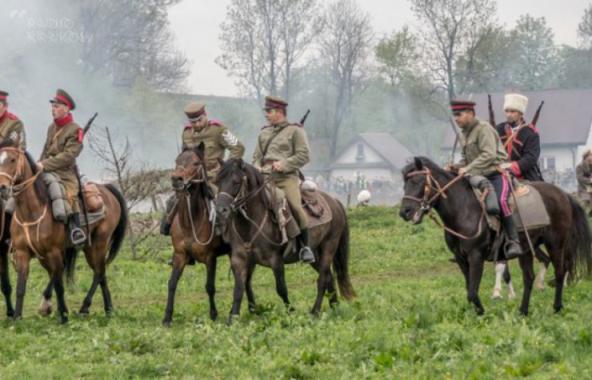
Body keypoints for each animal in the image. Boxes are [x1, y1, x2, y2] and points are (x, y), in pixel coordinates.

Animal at [0, 140, 127, 324]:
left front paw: (64, 317)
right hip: (86, 247)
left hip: (100, 242)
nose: (2, 187)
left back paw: (84, 307)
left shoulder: (53, 251)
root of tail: (107, 189)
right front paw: (17, 317)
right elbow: (21, 287)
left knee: (98, 271)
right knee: (99, 272)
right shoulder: (23, 253)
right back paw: (108, 308)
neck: (32, 212)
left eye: (12, 159)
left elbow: (59, 285)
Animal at [163, 144, 230, 326]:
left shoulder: (210, 258)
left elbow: (210, 287)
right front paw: (167, 317)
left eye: (195, 163)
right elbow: (172, 283)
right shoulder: (180, 256)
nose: (176, 179)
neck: (190, 222)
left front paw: (213, 315)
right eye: (177, 160)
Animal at [217, 158, 356, 324]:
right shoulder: (239, 260)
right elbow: (238, 289)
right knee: (329, 277)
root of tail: (335, 201)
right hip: (316, 254)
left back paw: (315, 311)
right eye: (217, 182)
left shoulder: (276, 260)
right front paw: (232, 319)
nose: (220, 210)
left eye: (236, 182)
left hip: (329, 246)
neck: (252, 223)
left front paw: (291, 312)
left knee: (323, 278)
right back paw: (334, 306)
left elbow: (281, 288)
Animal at [398, 157, 592, 314]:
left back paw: (557, 307)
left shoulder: (476, 256)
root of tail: (563, 194)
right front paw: (478, 310)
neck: (464, 210)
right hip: (526, 249)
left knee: (560, 271)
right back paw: (523, 310)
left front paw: (483, 312)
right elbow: (470, 288)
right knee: (529, 277)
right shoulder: (461, 258)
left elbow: (472, 291)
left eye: (417, 181)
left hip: (555, 244)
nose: (404, 212)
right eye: (404, 183)